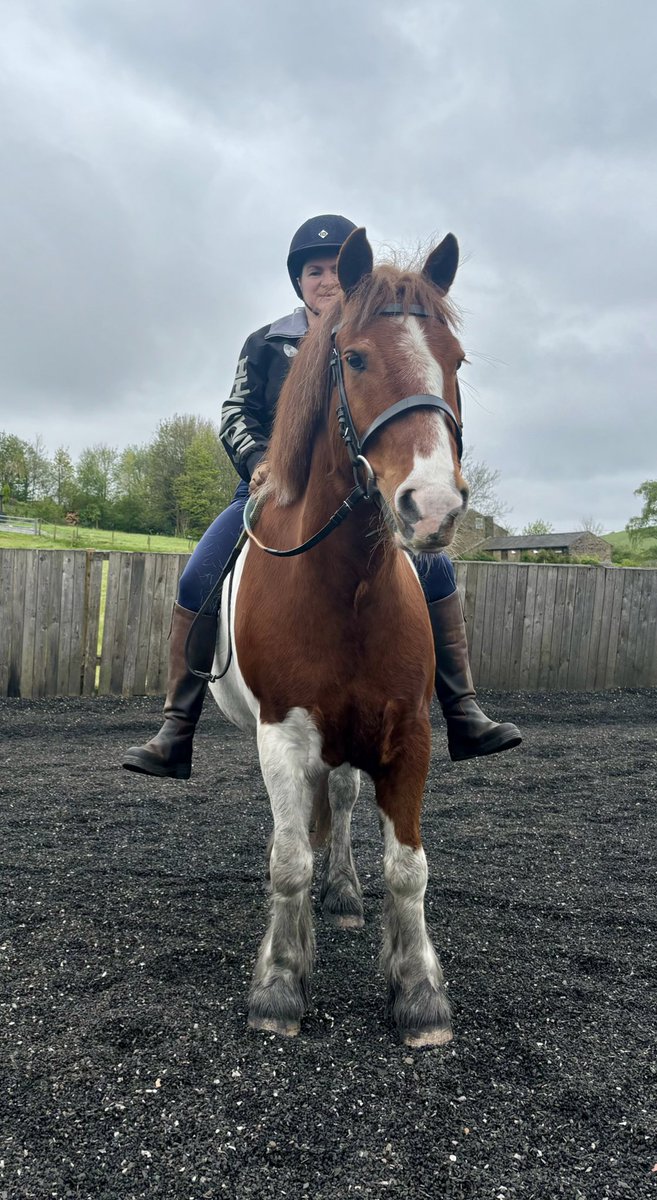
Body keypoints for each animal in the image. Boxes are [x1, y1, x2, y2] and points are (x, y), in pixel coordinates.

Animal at [211, 229, 467, 1046]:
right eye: (353, 358)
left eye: (456, 359)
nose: (431, 506)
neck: (345, 586)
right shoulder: (285, 734)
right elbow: (288, 861)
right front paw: (279, 984)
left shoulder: (408, 731)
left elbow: (409, 869)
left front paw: (417, 989)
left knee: (347, 802)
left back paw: (348, 896)